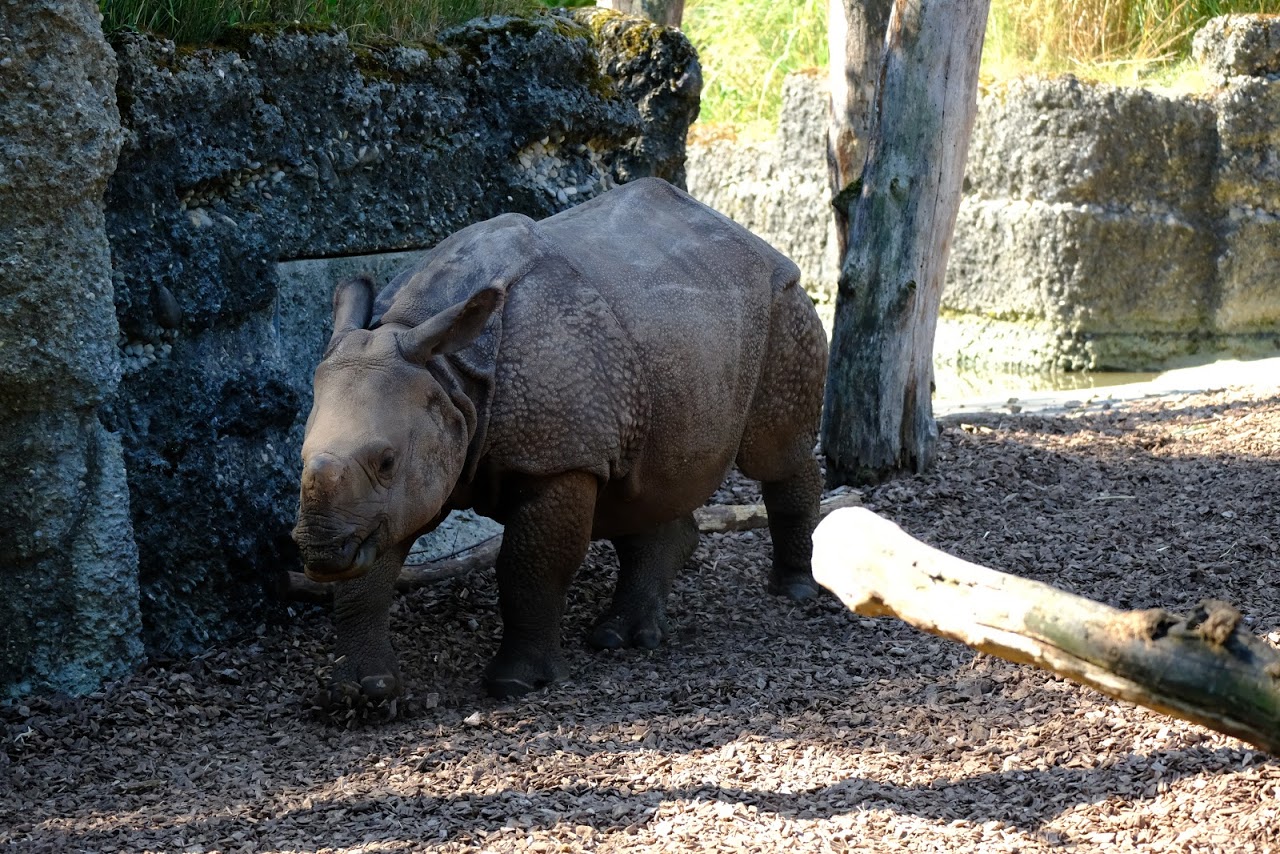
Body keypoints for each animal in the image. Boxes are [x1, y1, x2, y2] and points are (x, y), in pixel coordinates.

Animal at [293, 177, 828, 702]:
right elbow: (371, 571)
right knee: (641, 486)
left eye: (386, 460)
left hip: (782, 302)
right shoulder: (388, 497)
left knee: (774, 455)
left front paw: (515, 684)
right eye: (299, 458)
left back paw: (796, 589)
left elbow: (530, 566)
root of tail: (749, 237)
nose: (322, 553)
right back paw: (622, 636)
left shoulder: (558, 460)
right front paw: (361, 693)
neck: (447, 372)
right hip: (674, 332)